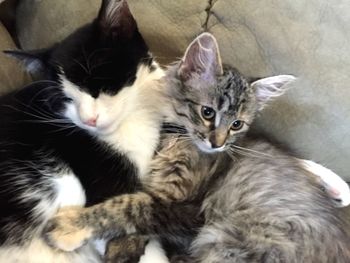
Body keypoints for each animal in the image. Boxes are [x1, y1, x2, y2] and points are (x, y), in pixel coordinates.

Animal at [43, 34, 350, 262]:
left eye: (237, 124)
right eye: (207, 112)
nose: (218, 143)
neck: (177, 138)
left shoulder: (187, 207)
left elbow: (129, 206)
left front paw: (72, 226)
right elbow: (136, 208)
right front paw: (124, 248)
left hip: (229, 240)